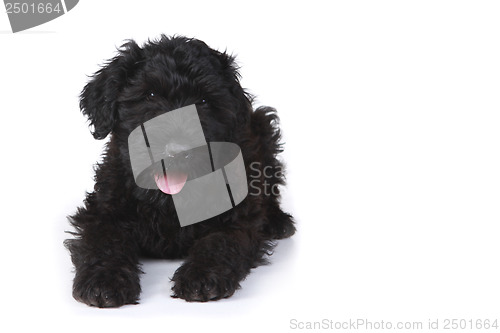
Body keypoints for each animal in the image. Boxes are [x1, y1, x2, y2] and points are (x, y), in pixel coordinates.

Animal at [64, 35, 294, 306]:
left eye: (203, 101)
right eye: (150, 95)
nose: (177, 151)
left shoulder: (237, 217)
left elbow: (219, 242)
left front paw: (201, 276)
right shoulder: (102, 210)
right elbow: (104, 242)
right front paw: (104, 280)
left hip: (264, 129)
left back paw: (278, 221)